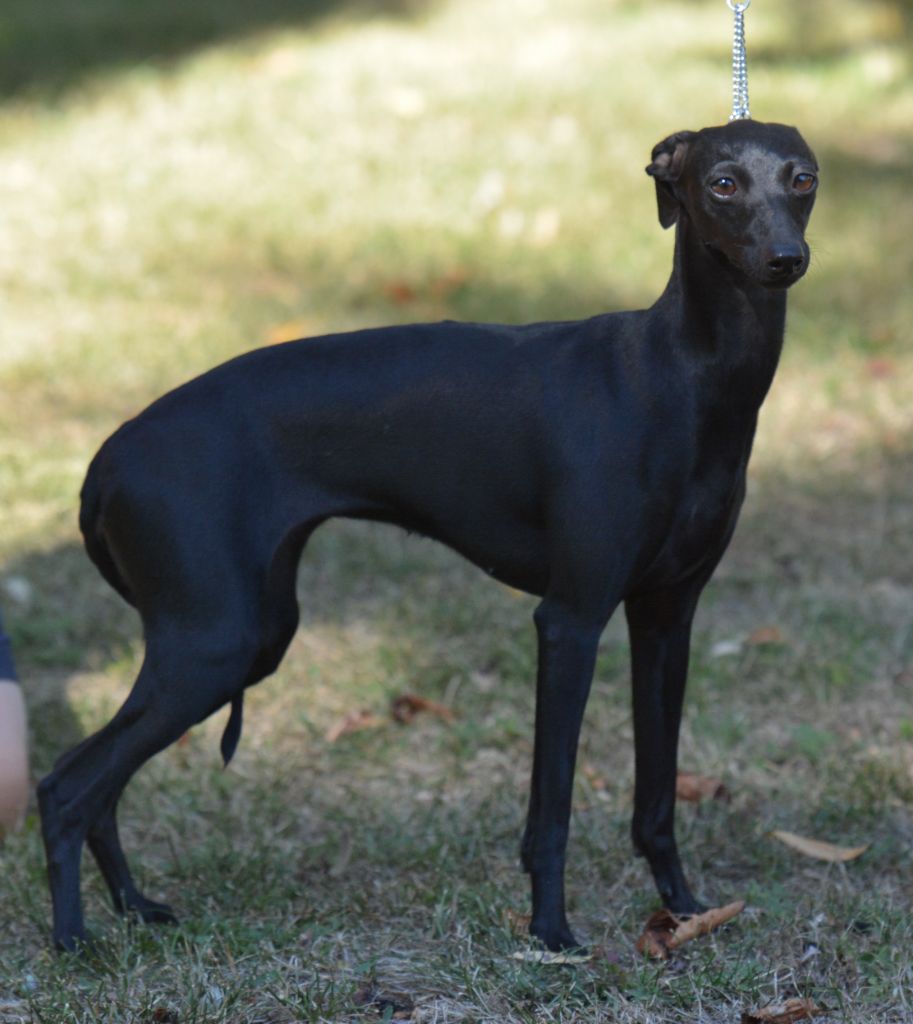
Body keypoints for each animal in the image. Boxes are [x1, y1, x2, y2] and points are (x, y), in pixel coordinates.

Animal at [39, 117, 814, 950]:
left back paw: (134, 907)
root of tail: (106, 461)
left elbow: (657, 795)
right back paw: (73, 943)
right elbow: (552, 804)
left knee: (100, 787)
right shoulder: (570, 620)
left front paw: (683, 908)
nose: (784, 260)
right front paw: (550, 932)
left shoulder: (667, 617)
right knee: (66, 785)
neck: (684, 375)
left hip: (251, 631)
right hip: (214, 645)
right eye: (722, 184)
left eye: (802, 178)